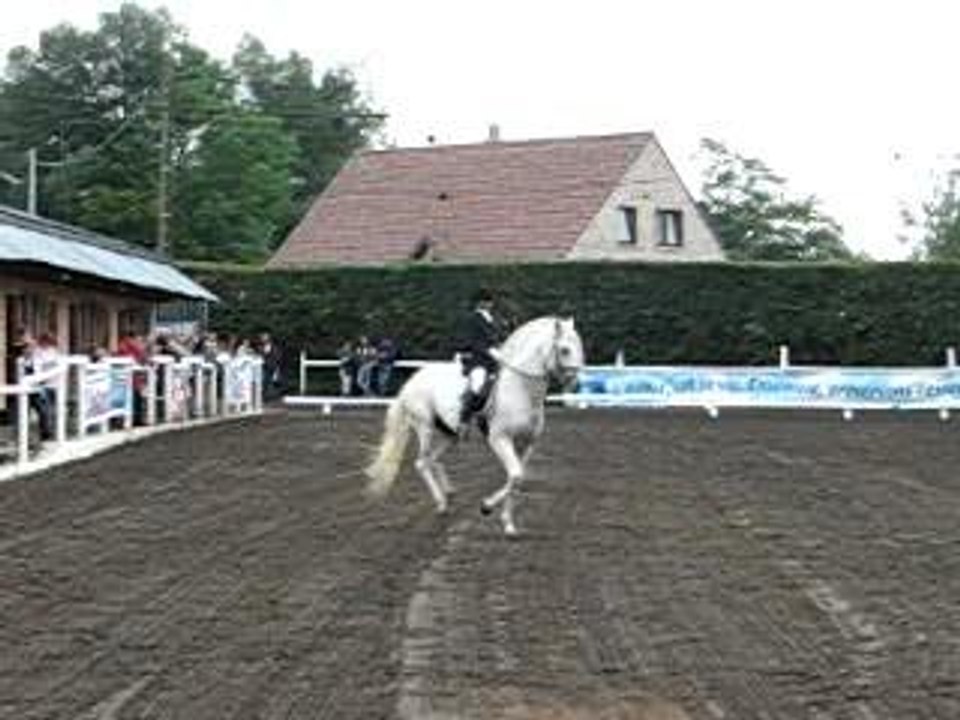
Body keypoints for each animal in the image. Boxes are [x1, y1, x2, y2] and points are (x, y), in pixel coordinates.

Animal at [364, 316, 584, 536]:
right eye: (564, 350)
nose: (575, 384)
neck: (520, 389)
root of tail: (413, 380)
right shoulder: (500, 439)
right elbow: (515, 475)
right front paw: (486, 507)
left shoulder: (527, 444)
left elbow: (517, 479)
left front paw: (508, 524)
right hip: (424, 427)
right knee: (421, 463)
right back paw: (441, 503)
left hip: (450, 434)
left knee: (432, 459)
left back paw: (449, 493)